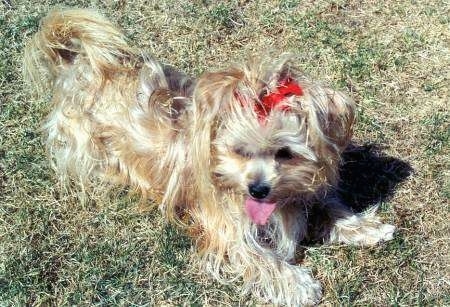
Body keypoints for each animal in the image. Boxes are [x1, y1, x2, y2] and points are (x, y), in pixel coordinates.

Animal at [26, 8, 396, 306]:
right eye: (239, 151)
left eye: (286, 153)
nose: (258, 189)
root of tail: (78, 66)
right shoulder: (227, 228)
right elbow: (259, 257)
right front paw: (296, 283)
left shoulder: (300, 191)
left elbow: (328, 205)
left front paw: (365, 227)